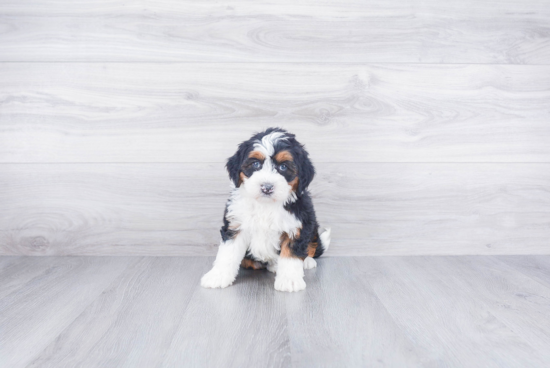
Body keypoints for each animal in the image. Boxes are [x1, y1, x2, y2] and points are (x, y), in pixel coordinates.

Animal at [203, 128, 332, 292]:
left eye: (283, 167)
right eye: (256, 164)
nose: (267, 187)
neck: (266, 204)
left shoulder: (297, 225)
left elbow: (291, 254)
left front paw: (289, 280)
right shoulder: (236, 224)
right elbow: (228, 253)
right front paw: (217, 276)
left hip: (312, 225)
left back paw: (307, 261)